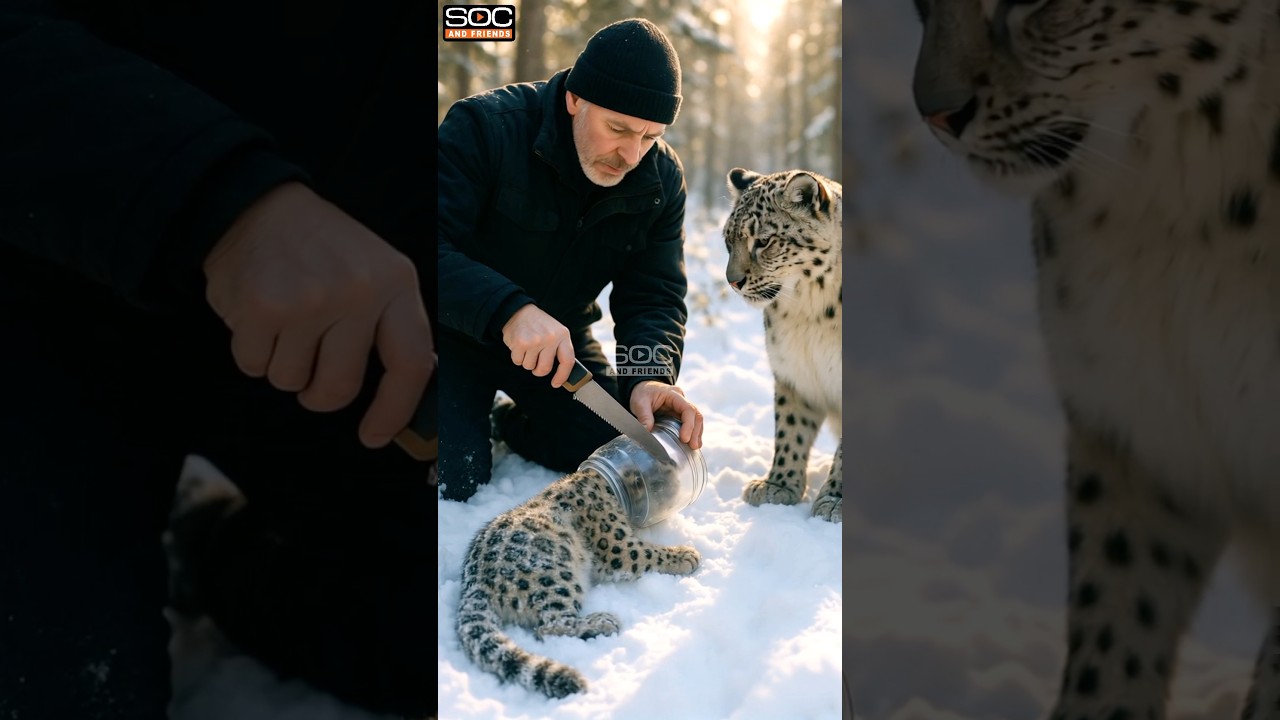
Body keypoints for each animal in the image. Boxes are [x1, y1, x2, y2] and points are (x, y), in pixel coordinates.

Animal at [454, 466, 700, 698]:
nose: (679, 486)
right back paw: (602, 622)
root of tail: (474, 584)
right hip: (554, 577)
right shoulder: (616, 545)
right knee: (550, 625)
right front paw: (686, 555)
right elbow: (646, 553)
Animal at [722, 167, 843, 523]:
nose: (732, 281)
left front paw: (834, 500)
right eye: (727, 241)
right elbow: (790, 428)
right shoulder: (793, 370)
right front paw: (778, 486)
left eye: (763, 241)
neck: (811, 310)